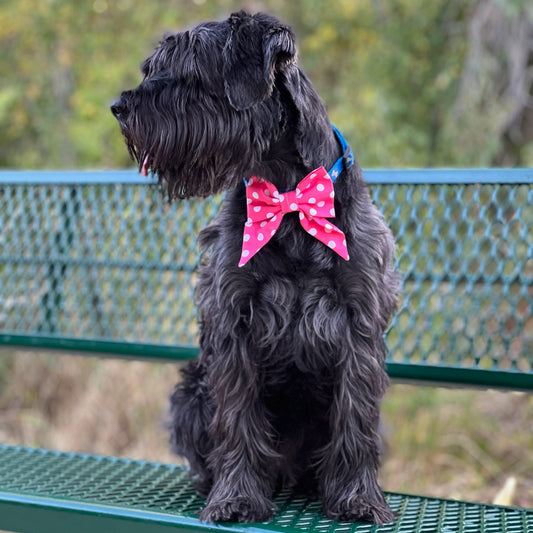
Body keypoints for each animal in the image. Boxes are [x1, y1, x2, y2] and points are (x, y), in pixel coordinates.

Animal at [111, 10, 394, 520]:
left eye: (191, 70)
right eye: (153, 68)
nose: (119, 107)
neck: (288, 195)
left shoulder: (359, 322)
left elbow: (355, 418)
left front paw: (358, 499)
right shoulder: (234, 320)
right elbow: (238, 417)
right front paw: (236, 497)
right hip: (190, 392)